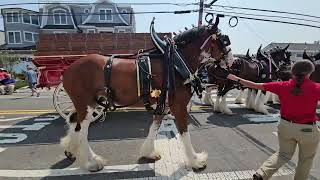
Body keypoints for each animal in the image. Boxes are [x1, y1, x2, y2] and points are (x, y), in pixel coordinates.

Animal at [59, 16, 232, 172]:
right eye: (224, 40)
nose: (231, 60)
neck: (176, 63)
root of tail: (68, 70)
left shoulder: (163, 104)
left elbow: (154, 126)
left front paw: (149, 152)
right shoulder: (178, 106)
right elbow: (184, 132)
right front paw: (195, 160)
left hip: (88, 103)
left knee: (74, 121)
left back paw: (72, 149)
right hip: (87, 104)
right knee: (83, 129)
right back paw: (92, 162)